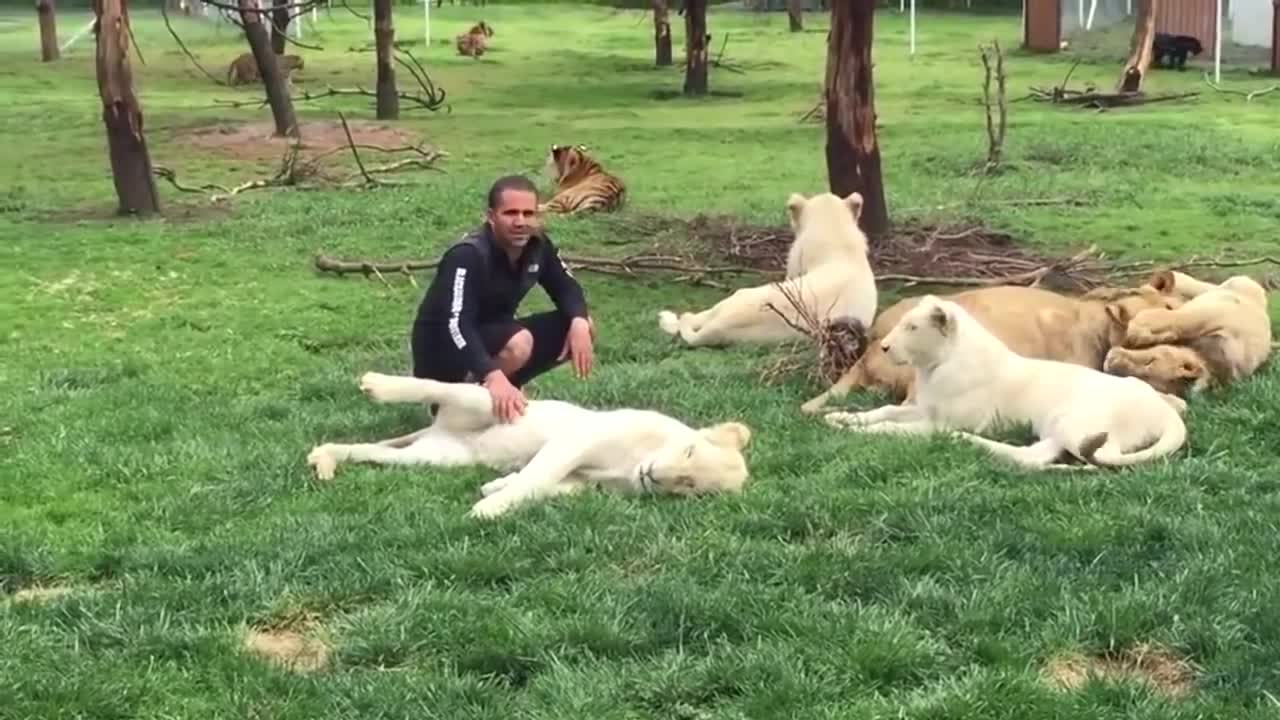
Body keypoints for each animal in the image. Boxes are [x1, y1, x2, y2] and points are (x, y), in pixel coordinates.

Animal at [305, 368, 752, 515]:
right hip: (495, 403)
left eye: (690, 486)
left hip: (433, 458)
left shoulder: (584, 483)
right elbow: (537, 477)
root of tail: (440, 430)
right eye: (689, 452)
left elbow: (541, 486)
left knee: (372, 451)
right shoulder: (576, 439)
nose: (655, 477)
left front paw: (493, 488)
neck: (632, 467)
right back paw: (375, 384)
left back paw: (323, 461)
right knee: (443, 386)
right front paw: (485, 510)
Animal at [819, 294, 1187, 468]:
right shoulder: (923, 408)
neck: (936, 366)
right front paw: (841, 418)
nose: (882, 346)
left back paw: (966, 441)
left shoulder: (935, 422)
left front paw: (856, 430)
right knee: (1036, 454)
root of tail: (1165, 412)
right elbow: (882, 411)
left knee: (1057, 457)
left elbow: (892, 427)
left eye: (912, 328)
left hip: (1071, 419)